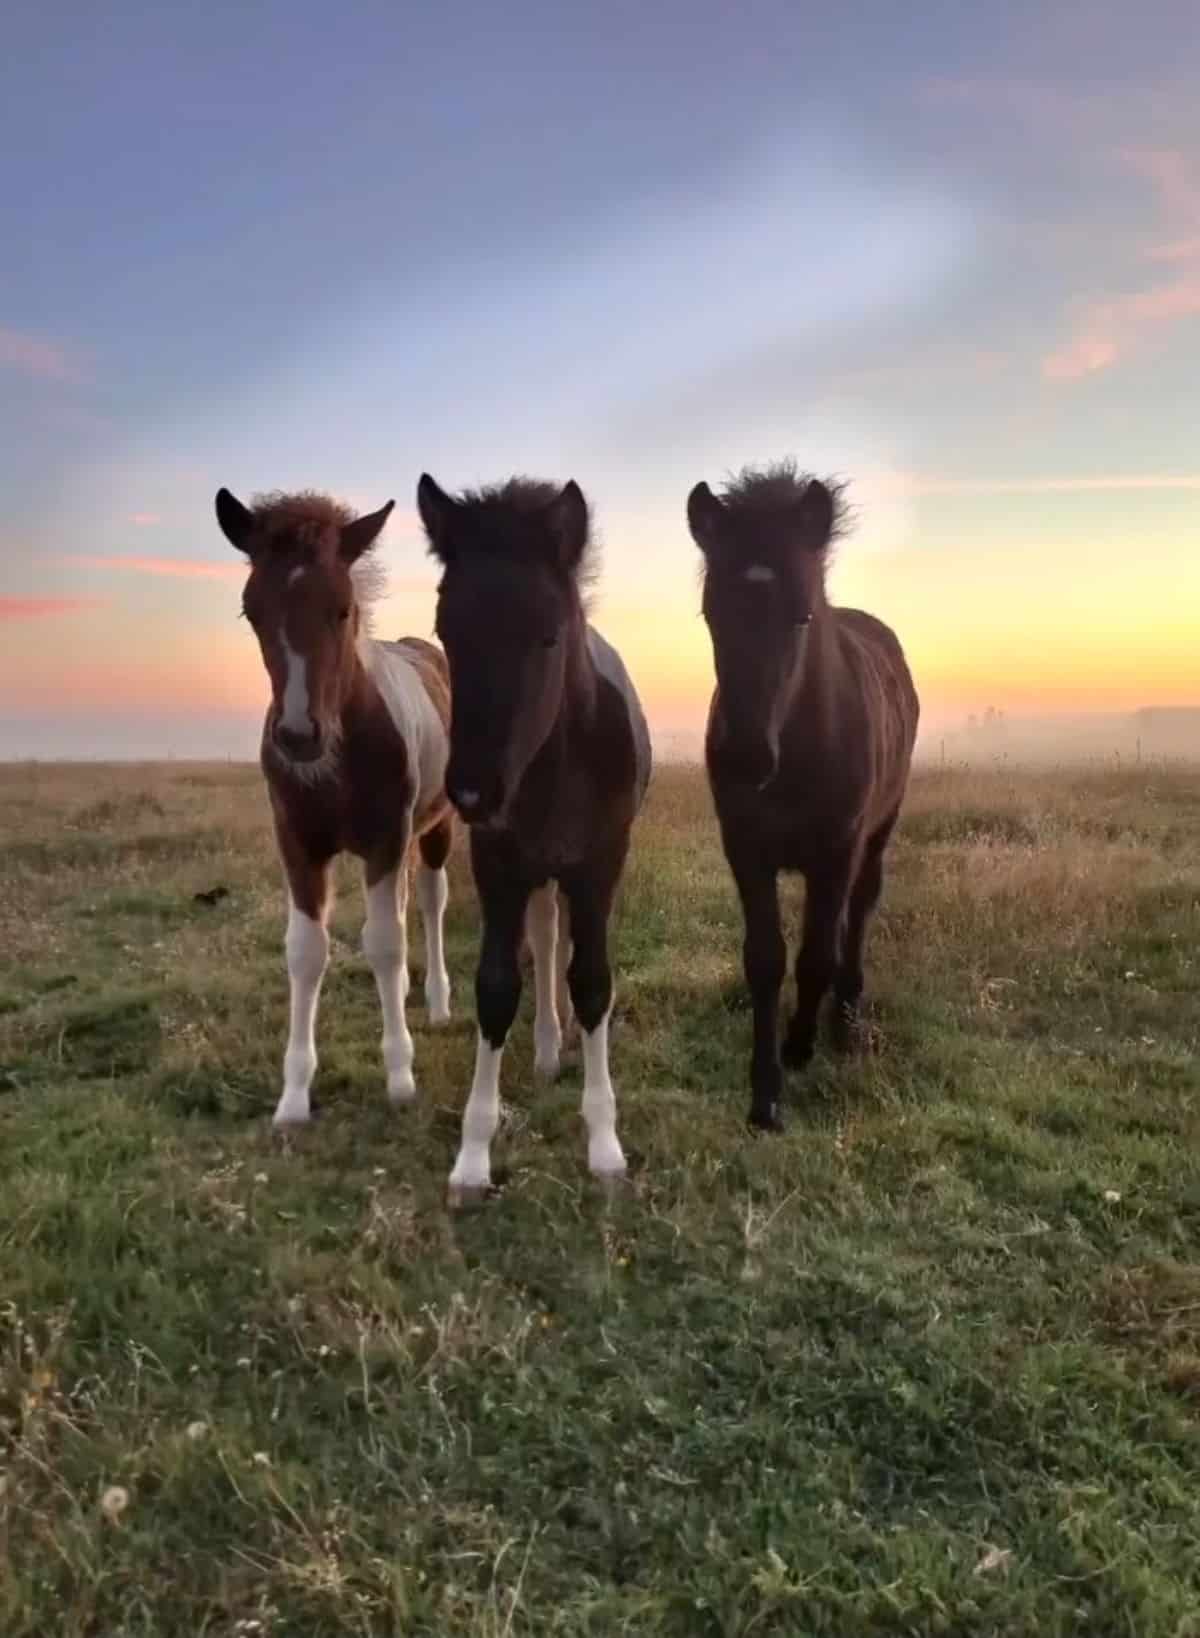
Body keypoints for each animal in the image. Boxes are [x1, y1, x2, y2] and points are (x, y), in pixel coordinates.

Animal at [216, 484, 455, 1126]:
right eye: (251, 612)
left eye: (343, 608)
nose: (299, 736)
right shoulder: (298, 844)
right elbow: (307, 951)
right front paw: (294, 1095)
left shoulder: (387, 837)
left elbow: (386, 942)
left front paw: (400, 1076)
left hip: (436, 826)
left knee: (428, 900)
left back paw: (437, 1000)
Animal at [414, 468, 654, 1199]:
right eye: (446, 629)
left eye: (548, 634)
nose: (471, 792)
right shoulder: (498, 861)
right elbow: (497, 987)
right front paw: (472, 1155)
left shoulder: (601, 862)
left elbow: (595, 980)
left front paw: (604, 1145)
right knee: (546, 939)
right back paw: (548, 1045)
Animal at [684, 458, 916, 1126]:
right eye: (712, 615)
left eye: (802, 616)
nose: (745, 757)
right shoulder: (746, 849)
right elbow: (765, 960)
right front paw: (765, 1093)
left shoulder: (834, 850)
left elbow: (817, 955)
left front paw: (801, 1045)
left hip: (878, 832)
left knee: (859, 911)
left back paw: (845, 1018)